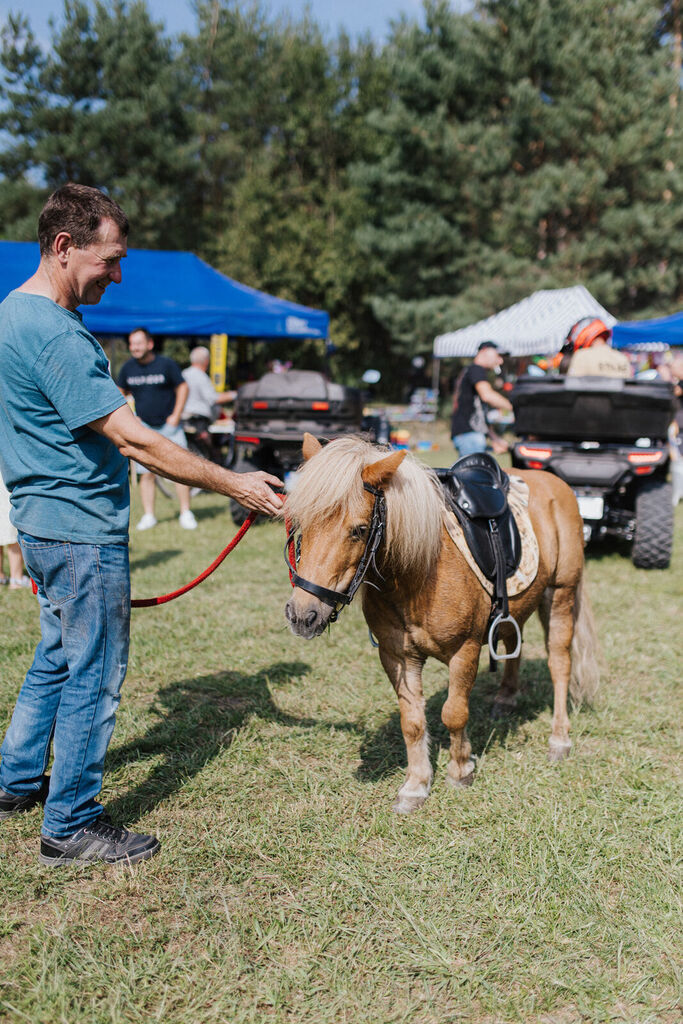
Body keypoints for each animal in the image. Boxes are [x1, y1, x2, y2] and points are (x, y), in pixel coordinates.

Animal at [282, 434, 598, 815]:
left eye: (359, 530)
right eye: (300, 521)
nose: (303, 615)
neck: (419, 573)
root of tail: (556, 485)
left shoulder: (465, 651)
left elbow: (454, 713)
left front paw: (461, 769)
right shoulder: (397, 657)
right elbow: (412, 722)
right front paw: (415, 785)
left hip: (561, 595)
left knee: (560, 664)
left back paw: (559, 739)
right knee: (512, 644)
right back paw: (506, 699)